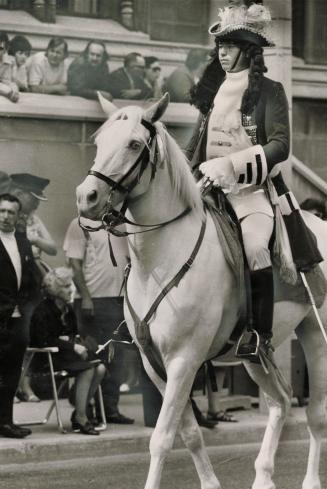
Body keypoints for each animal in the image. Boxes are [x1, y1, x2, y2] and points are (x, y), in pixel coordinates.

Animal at [76, 92, 327, 488]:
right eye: (99, 142)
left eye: (134, 144)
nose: (85, 197)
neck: (161, 259)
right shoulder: (154, 364)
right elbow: (189, 433)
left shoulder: (184, 360)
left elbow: (162, 438)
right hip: (255, 353)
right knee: (282, 401)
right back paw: (263, 476)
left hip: (315, 335)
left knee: (316, 415)